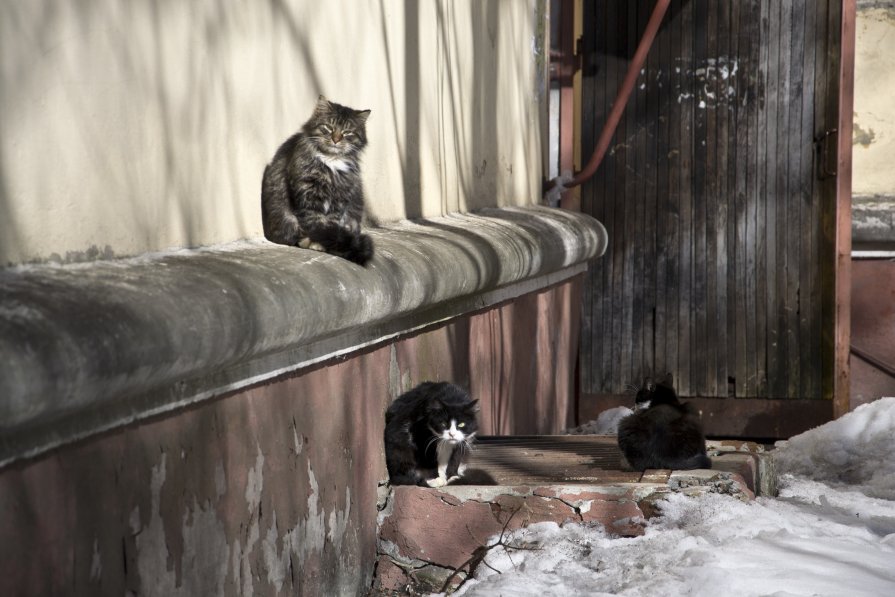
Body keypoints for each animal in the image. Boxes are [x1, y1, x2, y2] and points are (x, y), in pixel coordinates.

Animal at [260, 95, 374, 264]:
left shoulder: (338, 202)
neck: (331, 162)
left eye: (347, 132)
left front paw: (327, 245)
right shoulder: (307, 196)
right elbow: (315, 225)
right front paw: (317, 243)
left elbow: (330, 227)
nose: (336, 139)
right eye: (328, 127)